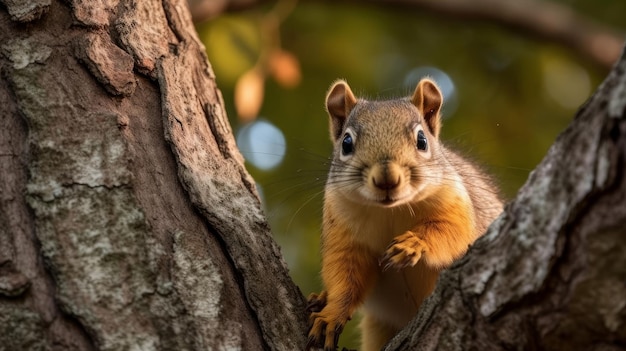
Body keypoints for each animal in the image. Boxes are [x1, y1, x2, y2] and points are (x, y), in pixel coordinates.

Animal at [304, 78, 500, 350]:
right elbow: (344, 276)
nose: (387, 179)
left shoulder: (456, 204)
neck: (391, 211)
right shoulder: (342, 229)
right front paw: (331, 314)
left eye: (422, 140)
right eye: (346, 143)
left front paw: (413, 243)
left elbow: (454, 233)